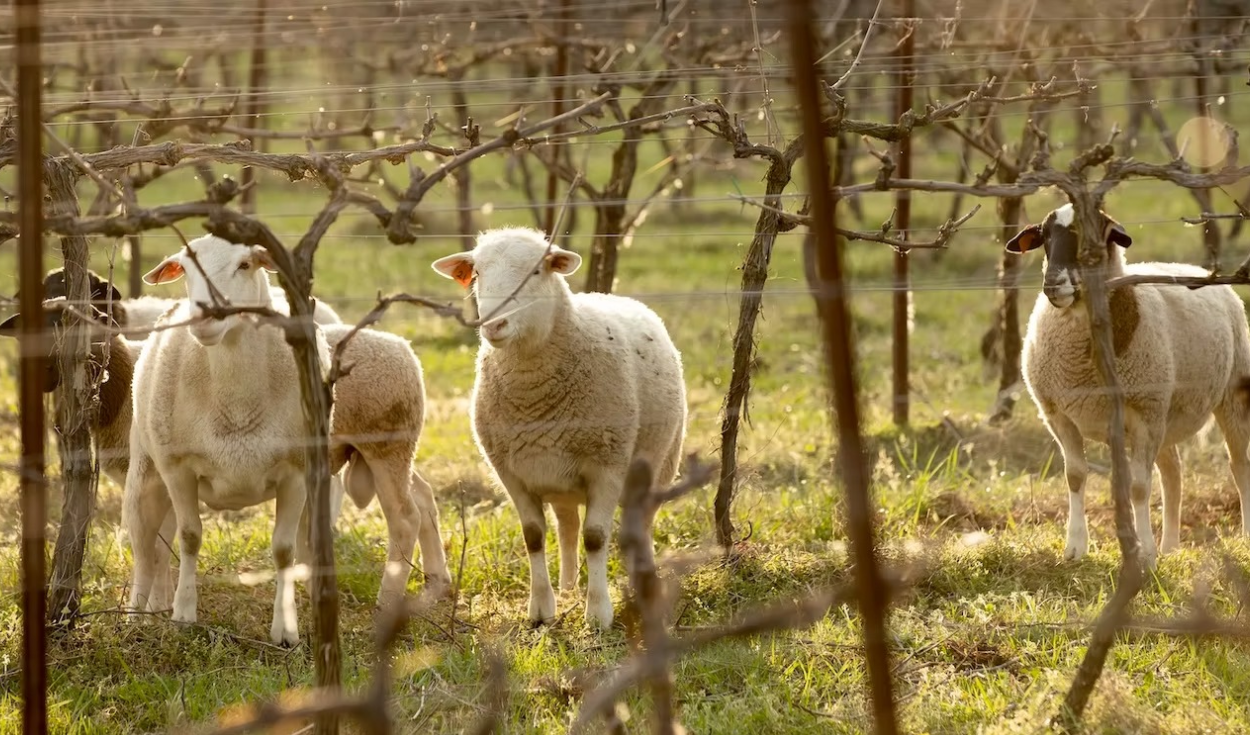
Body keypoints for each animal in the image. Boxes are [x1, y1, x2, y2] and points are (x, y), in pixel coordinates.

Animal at [124, 235, 334, 646]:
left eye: (245, 265)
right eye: (185, 269)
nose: (205, 318)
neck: (236, 400)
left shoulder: (296, 471)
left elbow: (284, 550)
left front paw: (285, 629)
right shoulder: (178, 468)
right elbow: (190, 537)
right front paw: (184, 615)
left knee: (160, 545)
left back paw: (157, 605)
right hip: (146, 469)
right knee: (143, 545)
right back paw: (137, 616)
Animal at [431, 227, 687, 629]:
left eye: (536, 271)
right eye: (477, 274)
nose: (493, 325)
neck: (533, 395)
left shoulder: (608, 464)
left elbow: (596, 537)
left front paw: (597, 613)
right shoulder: (512, 473)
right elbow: (534, 536)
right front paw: (541, 610)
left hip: (659, 463)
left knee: (640, 525)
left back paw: (641, 582)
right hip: (559, 478)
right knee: (567, 525)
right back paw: (568, 586)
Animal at [1008, 202, 1250, 567]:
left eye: (1091, 240)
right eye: (1045, 237)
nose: (1053, 285)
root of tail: (1203, 271)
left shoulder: (1143, 415)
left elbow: (1138, 487)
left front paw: (1144, 554)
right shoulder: (1058, 415)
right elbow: (1075, 476)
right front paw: (1075, 547)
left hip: (1228, 396)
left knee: (1239, 468)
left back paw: (1240, 538)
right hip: (1165, 411)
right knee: (1173, 474)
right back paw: (1170, 547)